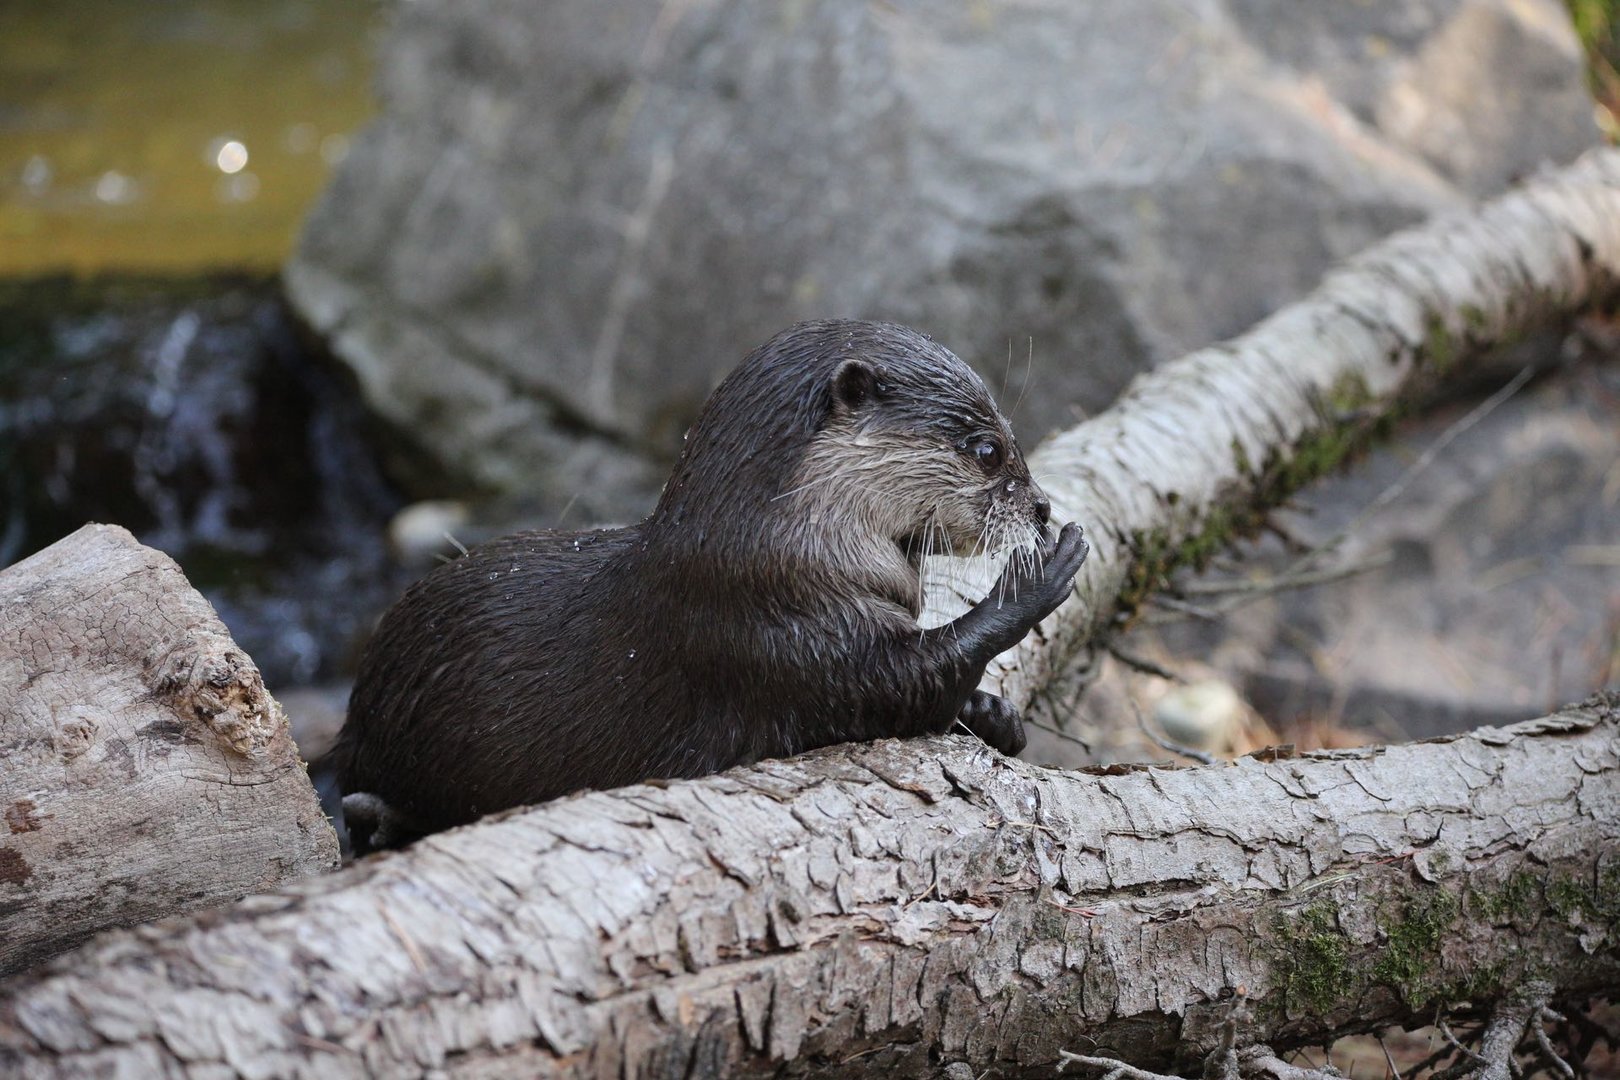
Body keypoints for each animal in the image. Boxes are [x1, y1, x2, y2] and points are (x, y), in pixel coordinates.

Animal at [335, 320, 1088, 851]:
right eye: (988, 449)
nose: (1042, 506)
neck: (778, 551)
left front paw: (992, 714)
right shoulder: (770, 633)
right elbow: (896, 685)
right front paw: (1035, 581)